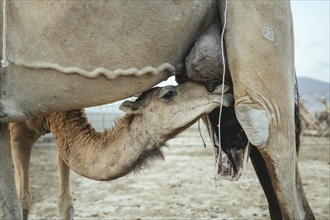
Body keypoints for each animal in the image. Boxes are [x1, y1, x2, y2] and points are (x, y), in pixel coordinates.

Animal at [9, 81, 232, 219]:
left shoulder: (61, 137)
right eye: (169, 94)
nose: (220, 88)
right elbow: (23, 201)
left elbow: (65, 205)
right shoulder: (18, 132)